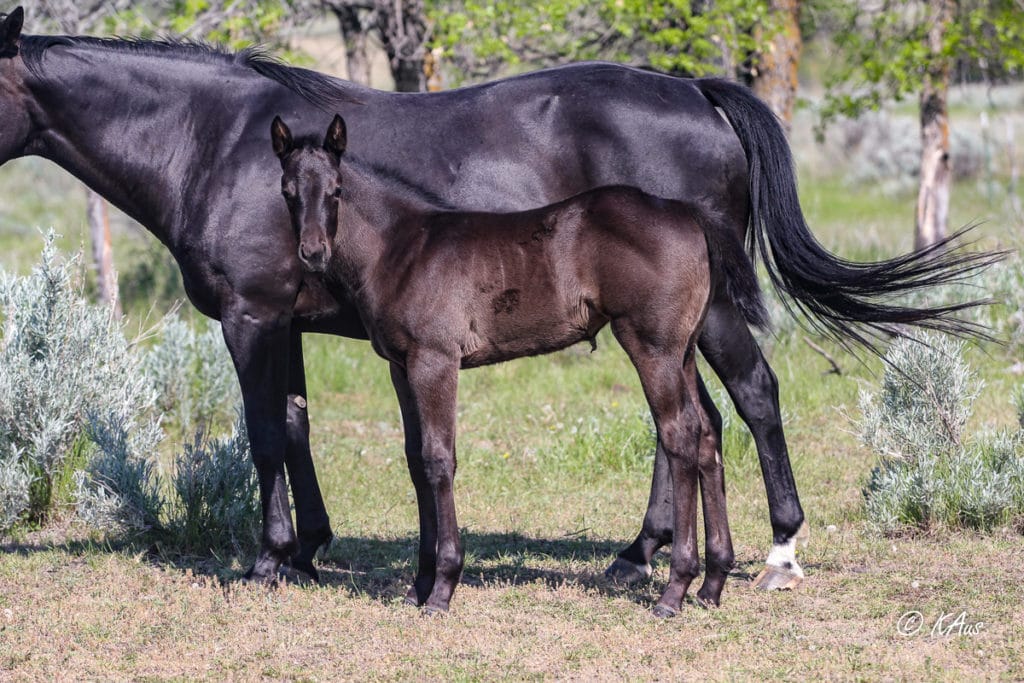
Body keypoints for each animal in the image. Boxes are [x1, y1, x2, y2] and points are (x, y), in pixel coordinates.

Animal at [272, 116, 770, 614]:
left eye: (336, 190)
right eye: (287, 191)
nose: (312, 253)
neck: (402, 247)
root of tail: (687, 213)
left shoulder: (435, 360)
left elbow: (439, 459)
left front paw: (442, 586)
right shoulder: (401, 366)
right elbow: (416, 461)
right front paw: (419, 584)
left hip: (652, 346)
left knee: (680, 433)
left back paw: (675, 589)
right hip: (682, 350)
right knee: (706, 433)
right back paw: (712, 583)